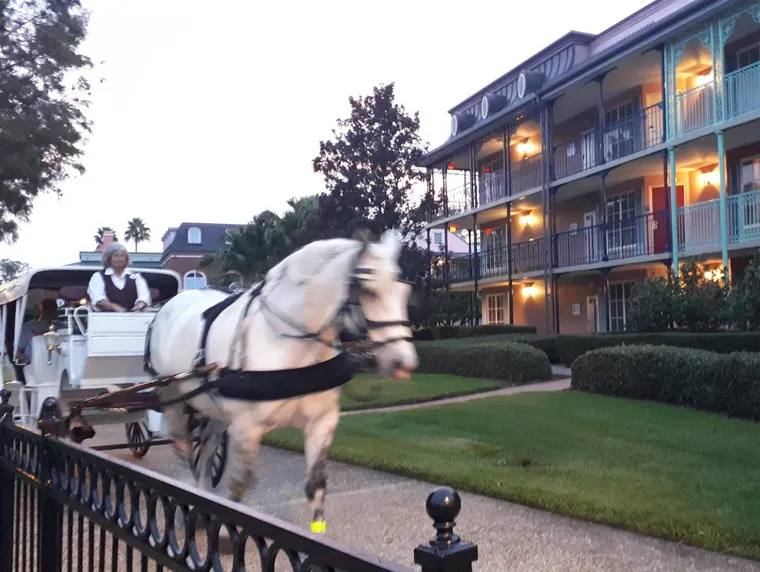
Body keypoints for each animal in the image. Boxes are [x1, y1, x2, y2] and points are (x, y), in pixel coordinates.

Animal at [145, 230, 418, 528]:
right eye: (368, 291)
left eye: (405, 291)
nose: (404, 363)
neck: (289, 343)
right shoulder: (245, 430)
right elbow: (238, 490)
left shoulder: (321, 423)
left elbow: (316, 488)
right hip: (174, 401)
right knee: (185, 452)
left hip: (214, 410)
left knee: (205, 455)